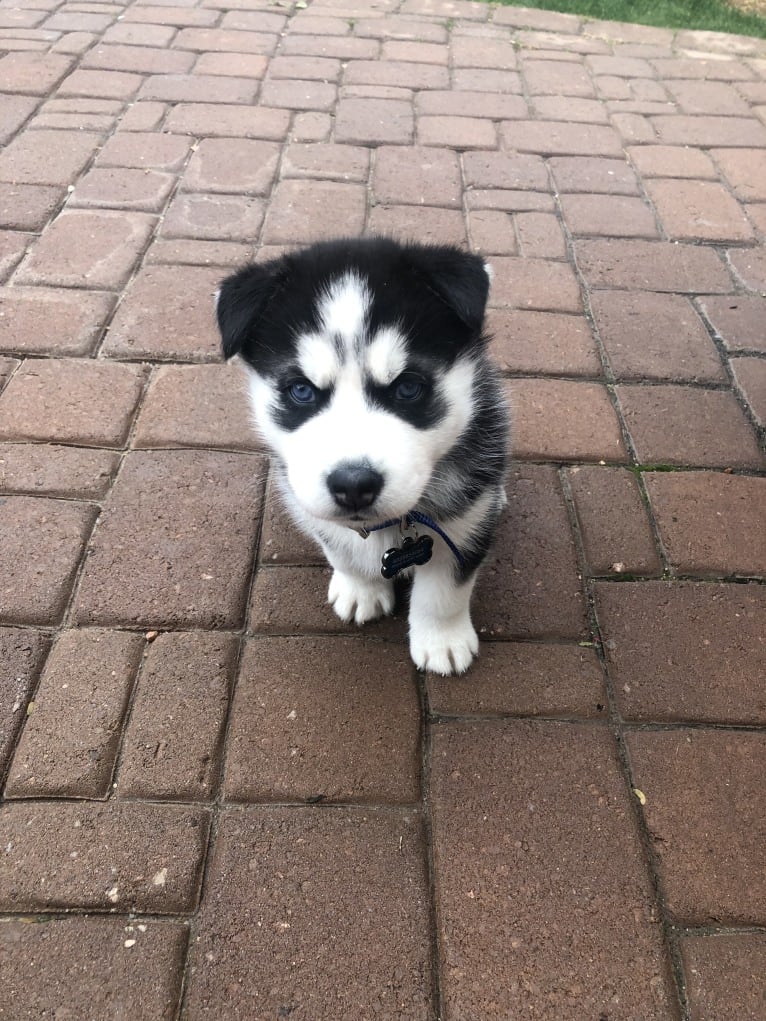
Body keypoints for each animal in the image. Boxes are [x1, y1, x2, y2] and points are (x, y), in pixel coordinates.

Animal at [217, 234, 510, 673]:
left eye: (408, 387)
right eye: (300, 390)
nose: (353, 485)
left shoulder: (465, 522)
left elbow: (444, 591)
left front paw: (442, 640)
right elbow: (342, 552)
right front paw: (362, 589)